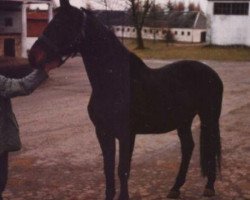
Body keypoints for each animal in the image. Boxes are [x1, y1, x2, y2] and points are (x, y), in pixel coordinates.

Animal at [28, 0, 224, 199]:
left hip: (209, 117)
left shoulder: (126, 134)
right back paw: (175, 188)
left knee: (211, 145)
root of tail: (212, 73)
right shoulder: (103, 132)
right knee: (188, 147)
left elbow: (122, 169)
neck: (115, 81)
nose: (32, 55)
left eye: (63, 24)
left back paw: (209, 186)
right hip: (183, 121)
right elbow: (108, 169)